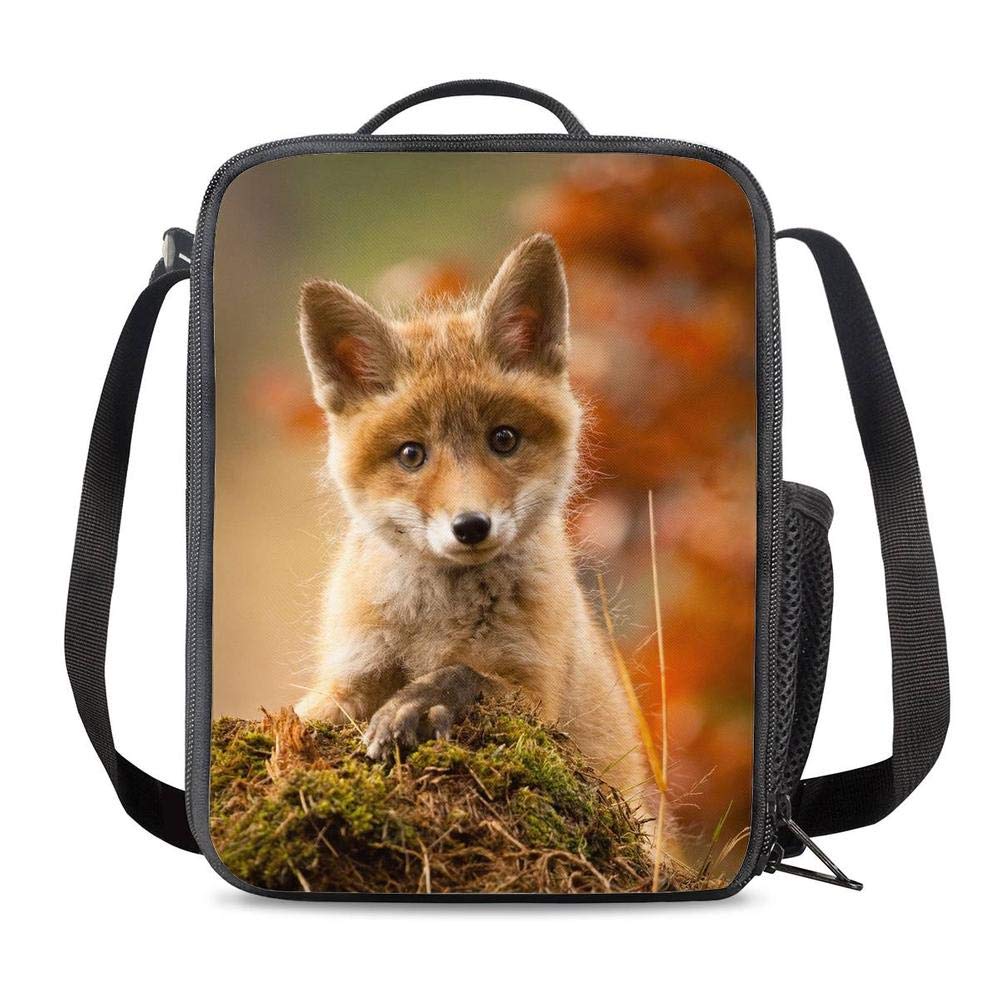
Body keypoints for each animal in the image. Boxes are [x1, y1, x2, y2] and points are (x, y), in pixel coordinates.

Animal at [294, 232, 652, 814]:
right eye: (412, 454)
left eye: (503, 439)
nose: (471, 526)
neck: (436, 620)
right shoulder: (347, 676)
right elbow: (302, 716)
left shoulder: (538, 695)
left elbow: (464, 674)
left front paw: (417, 705)